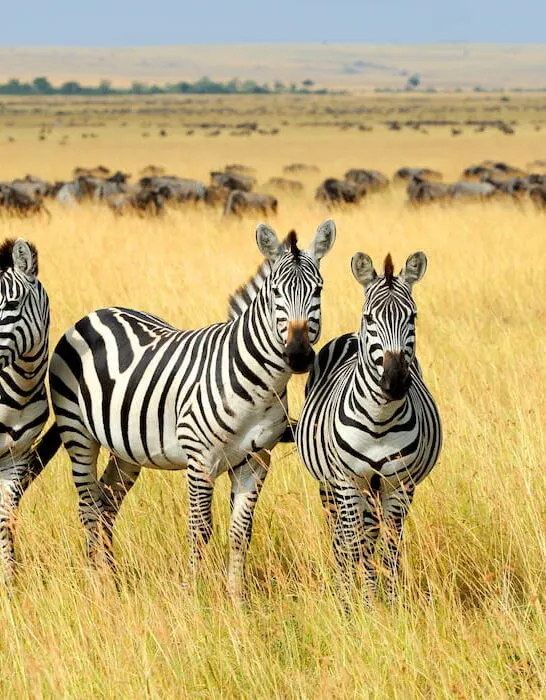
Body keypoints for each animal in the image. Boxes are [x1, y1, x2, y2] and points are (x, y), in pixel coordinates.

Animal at [47, 220, 336, 597]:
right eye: (275, 293)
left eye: (318, 290)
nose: (299, 355)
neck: (259, 384)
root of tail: (97, 312)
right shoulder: (200, 459)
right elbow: (200, 530)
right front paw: (192, 596)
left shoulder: (256, 462)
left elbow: (241, 532)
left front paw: (236, 599)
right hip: (78, 433)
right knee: (88, 506)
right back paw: (97, 583)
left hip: (126, 448)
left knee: (107, 502)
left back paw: (110, 577)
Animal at [295, 250, 442, 600]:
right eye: (370, 318)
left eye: (413, 317)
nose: (395, 382)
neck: (380, 420)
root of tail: (350, 335)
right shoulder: (347, 481)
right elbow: (354, 543)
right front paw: (354, 602)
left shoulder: (399, 484)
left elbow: (388, 547)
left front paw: (388, 602)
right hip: (331, 486)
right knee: (340, 535)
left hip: (376, 489)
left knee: (373, 536)